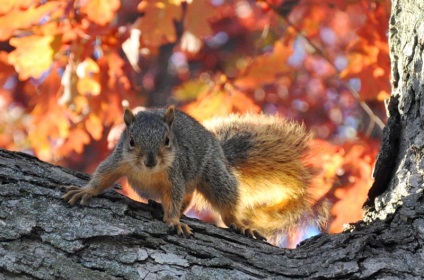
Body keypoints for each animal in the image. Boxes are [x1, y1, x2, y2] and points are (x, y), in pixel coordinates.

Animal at [63, 105, 330, 243]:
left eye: (167, 141)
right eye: (131, 141)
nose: (150, 161)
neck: (151, 172)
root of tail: (221, 152)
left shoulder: (175, 176)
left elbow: (174, 198)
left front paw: (173, 220)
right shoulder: (118, 161)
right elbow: (102, 175)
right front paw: (85, 191)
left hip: (213, 175)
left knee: (223, 201)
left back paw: (238, 224)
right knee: (189, 197)